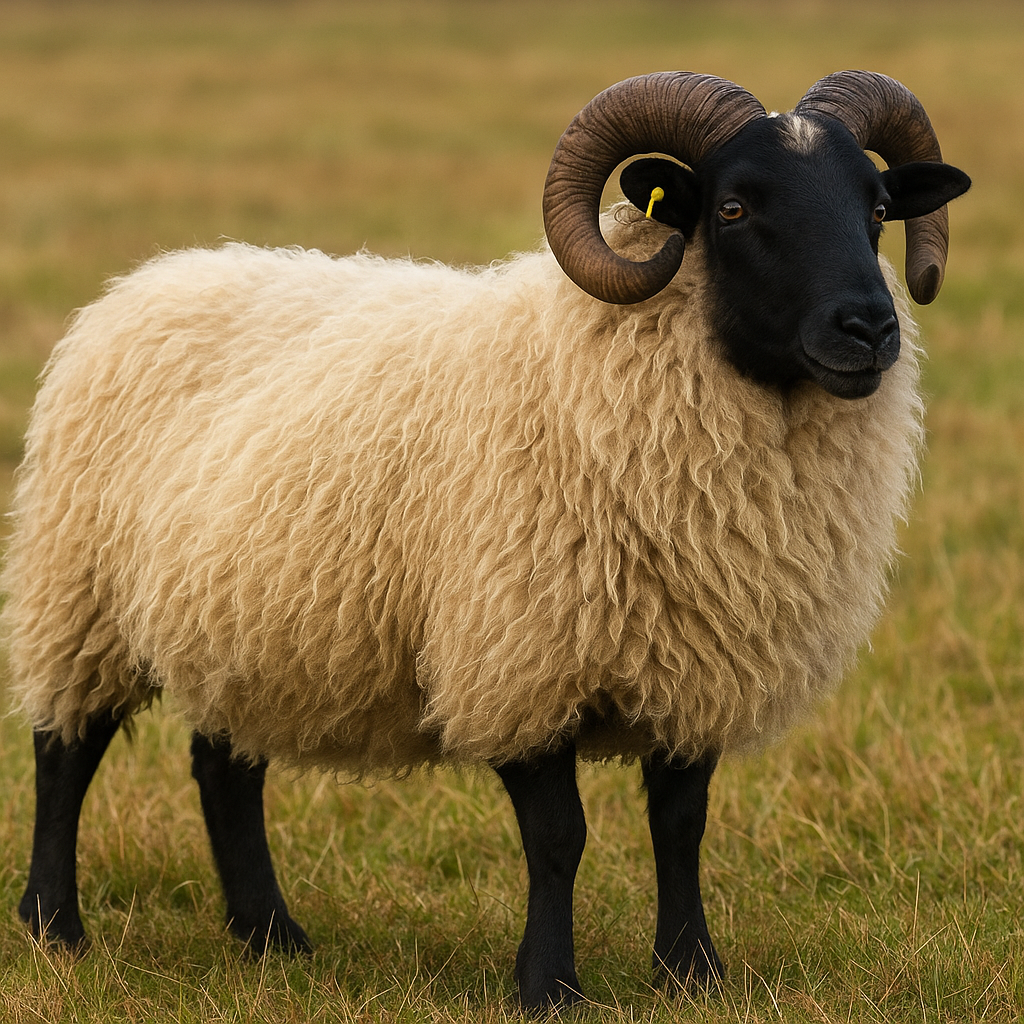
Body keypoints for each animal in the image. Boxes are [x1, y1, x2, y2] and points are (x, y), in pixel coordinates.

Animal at [3, 70, 969, 1010]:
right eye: (733, 208)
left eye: (879, 206)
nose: (870, 328)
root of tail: (153, 276)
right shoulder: (520, 659)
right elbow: (558, 837)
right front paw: (549, 987)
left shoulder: (695, 666)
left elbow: (680, 824)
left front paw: (694, 975)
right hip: (79, 591)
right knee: (65, 752)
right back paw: (56, 929)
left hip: (241, 620)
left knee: (223, 768)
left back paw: (271, 940)